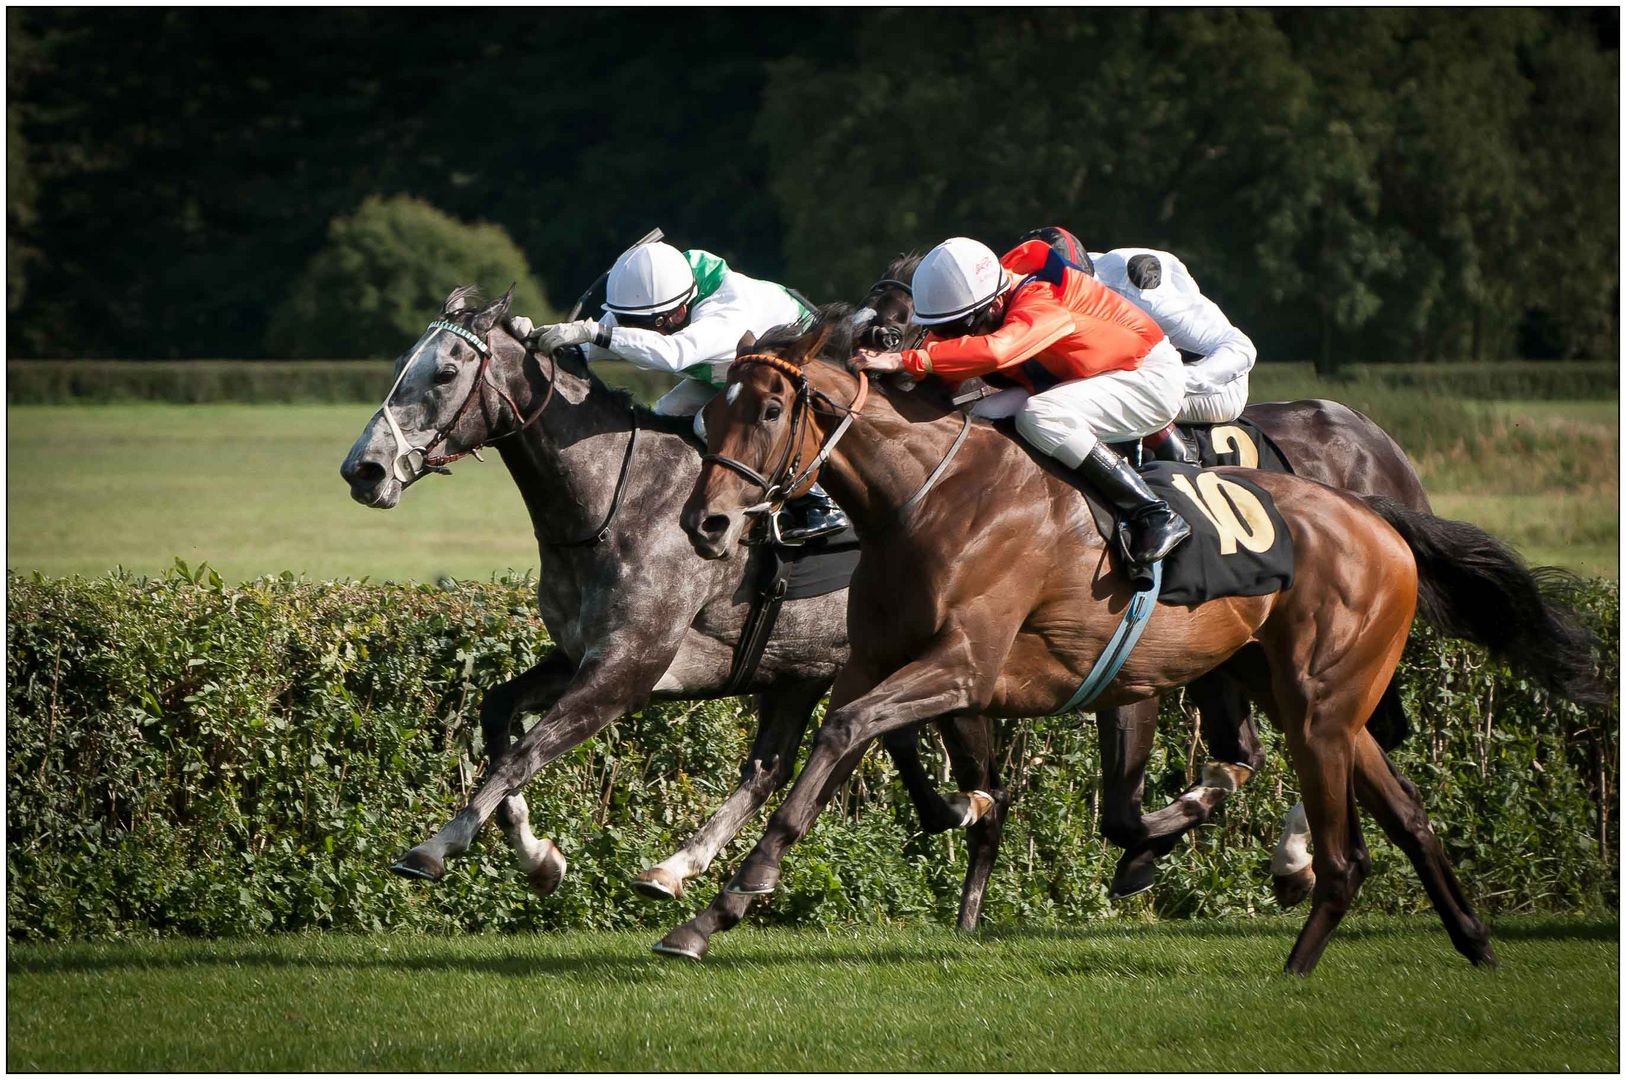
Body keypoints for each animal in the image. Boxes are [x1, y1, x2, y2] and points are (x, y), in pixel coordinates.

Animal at [666, 307, 1606, 975]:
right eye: (712, 409)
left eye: (772, 407)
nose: (705, 522)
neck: (931, 498)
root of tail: (1376, 514)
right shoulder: (877, 662)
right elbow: (837, 756)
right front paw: (709, 911)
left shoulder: (963, 667)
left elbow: (840, 735)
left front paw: (731, 896)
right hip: (1298, 693)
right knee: (1407, 814)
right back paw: (1471, 937)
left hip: (1321, 702)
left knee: (1353, 827)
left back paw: (1307, 932)